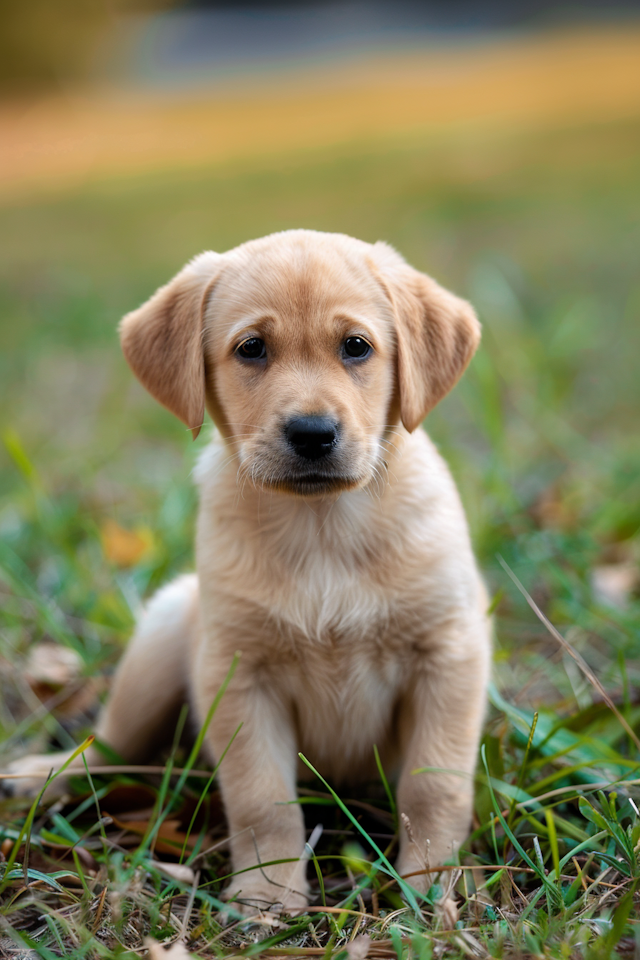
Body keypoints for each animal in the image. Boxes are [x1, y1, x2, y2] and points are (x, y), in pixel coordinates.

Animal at [6, 229, 490, 920]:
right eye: (252, 348)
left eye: (357, 347)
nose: (312, 433)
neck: (322, 528)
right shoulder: (239, 673)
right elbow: (263, 800)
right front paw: (268, 897)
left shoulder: (447, 657)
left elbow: (434, 787)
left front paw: (432, 889)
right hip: (159, 643)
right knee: (110, 748)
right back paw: (42, 775)